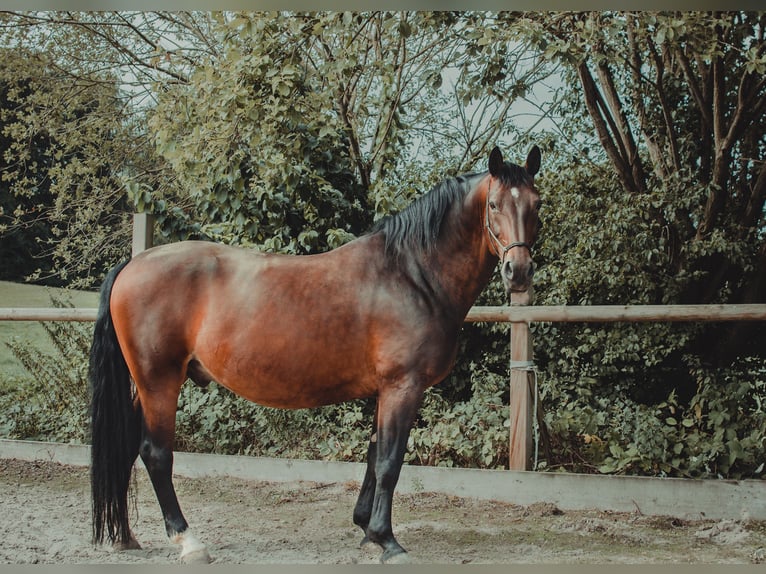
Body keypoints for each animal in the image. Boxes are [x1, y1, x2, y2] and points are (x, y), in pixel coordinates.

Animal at [90, 145, 544, 568]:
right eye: (494, 204)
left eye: (536, 204)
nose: (518, 271)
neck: (411, 275)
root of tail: (133, 265)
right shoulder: (403, 387)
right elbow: (390, 462)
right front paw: (388, 541)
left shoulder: (383, 391)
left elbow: (374, 455)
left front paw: (367, 531)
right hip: (159, 382)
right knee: (155, 454)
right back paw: (188, 541)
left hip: (144, 386)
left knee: (125, 447)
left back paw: (125, 536)